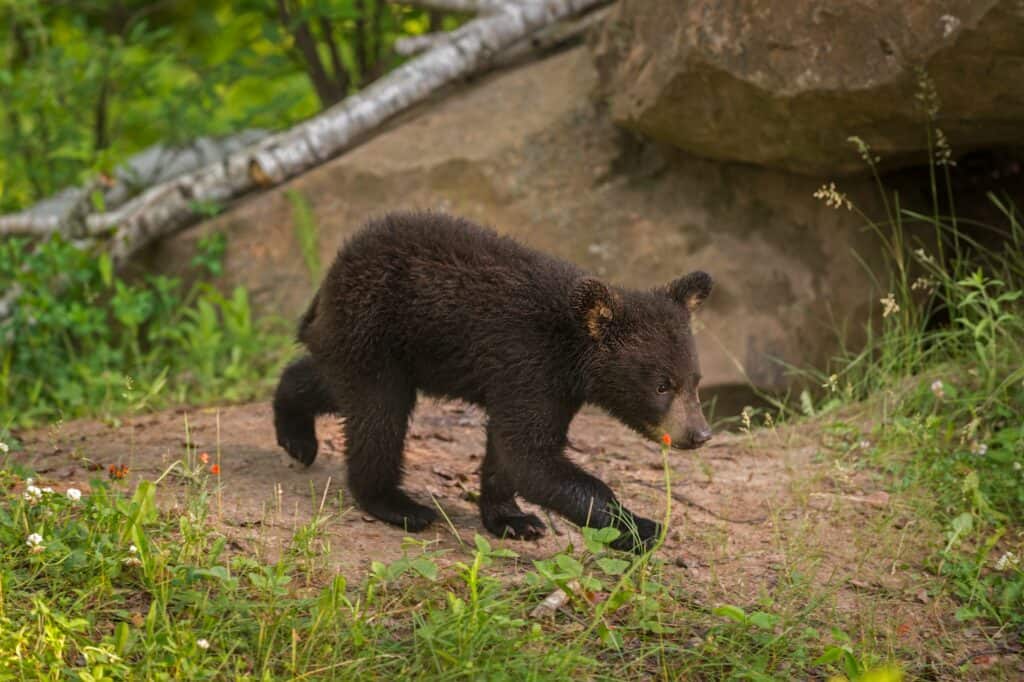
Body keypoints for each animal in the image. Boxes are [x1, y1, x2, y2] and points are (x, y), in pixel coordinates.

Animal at [273, 211, 712, 553]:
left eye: (695, 380)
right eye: (662, 385)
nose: (699, 434)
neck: (570, 353)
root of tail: (333, 272)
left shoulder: (552, 388)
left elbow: (509, 453)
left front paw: (514, 520)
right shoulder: (528, 363)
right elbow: (530, 456)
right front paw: (641, 527)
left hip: (385, 349)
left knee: (332, 384)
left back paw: (297, 435)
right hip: (377, 331)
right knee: (379, 416)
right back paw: (398, 504)